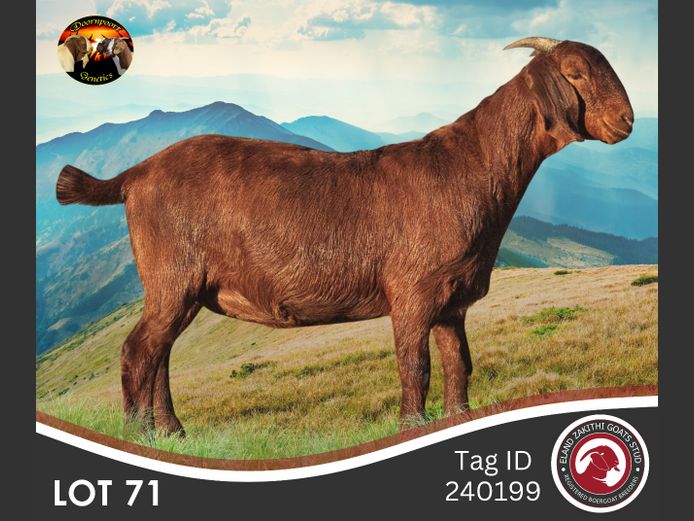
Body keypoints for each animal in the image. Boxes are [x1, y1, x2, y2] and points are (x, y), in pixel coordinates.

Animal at [55, 37, 633, 436]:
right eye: (576, 73)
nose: (627, 121)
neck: (468, 168)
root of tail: (134, 175)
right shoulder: (413, 291)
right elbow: (415, 367)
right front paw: (411, 429)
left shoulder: (453, 301)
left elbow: (460, 365)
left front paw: (456, 421)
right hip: (172, 277)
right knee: (138, 351)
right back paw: (142, 435)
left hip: (185, 290)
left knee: (160, 354)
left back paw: (174, 432)